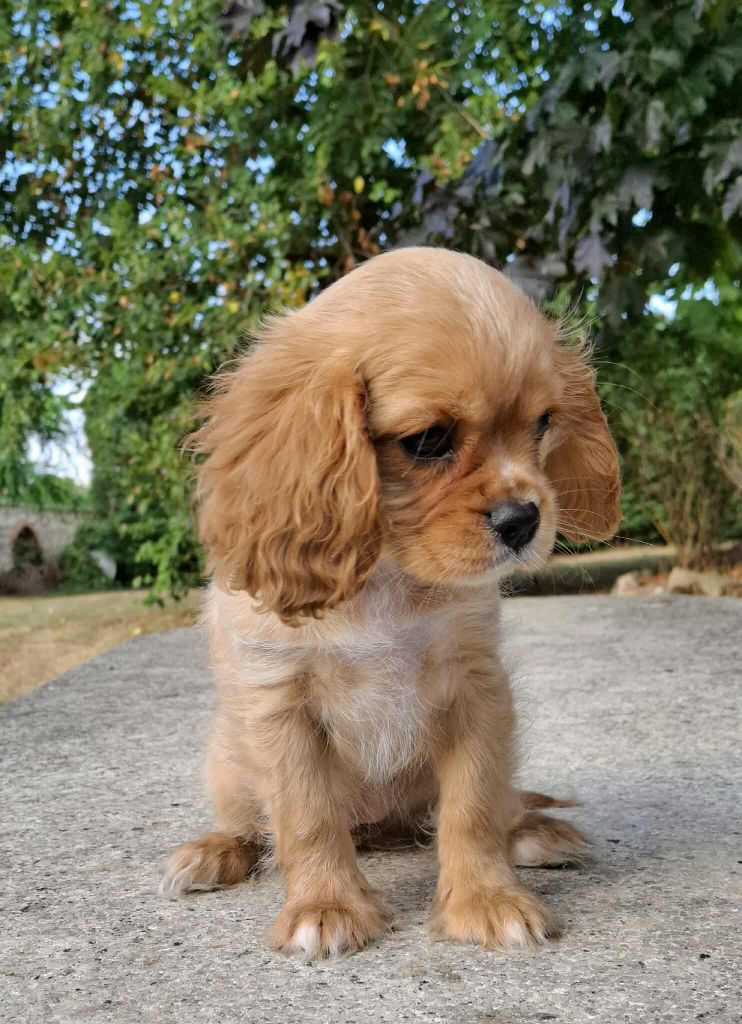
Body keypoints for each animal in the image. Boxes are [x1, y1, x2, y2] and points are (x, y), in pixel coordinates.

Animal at [161, 247, 621, 958]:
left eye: (544, 425)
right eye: (428, 440)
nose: (523, 518)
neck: (387, 576)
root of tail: (382, 832)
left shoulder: (477, 691)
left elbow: (472, 806)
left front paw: (486, 897)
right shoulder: (279, 704)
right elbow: (307, 816)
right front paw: (324, 905)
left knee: (490, 806)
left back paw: (531, 833)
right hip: (226, 760)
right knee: (250, 823)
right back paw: (215, 851)